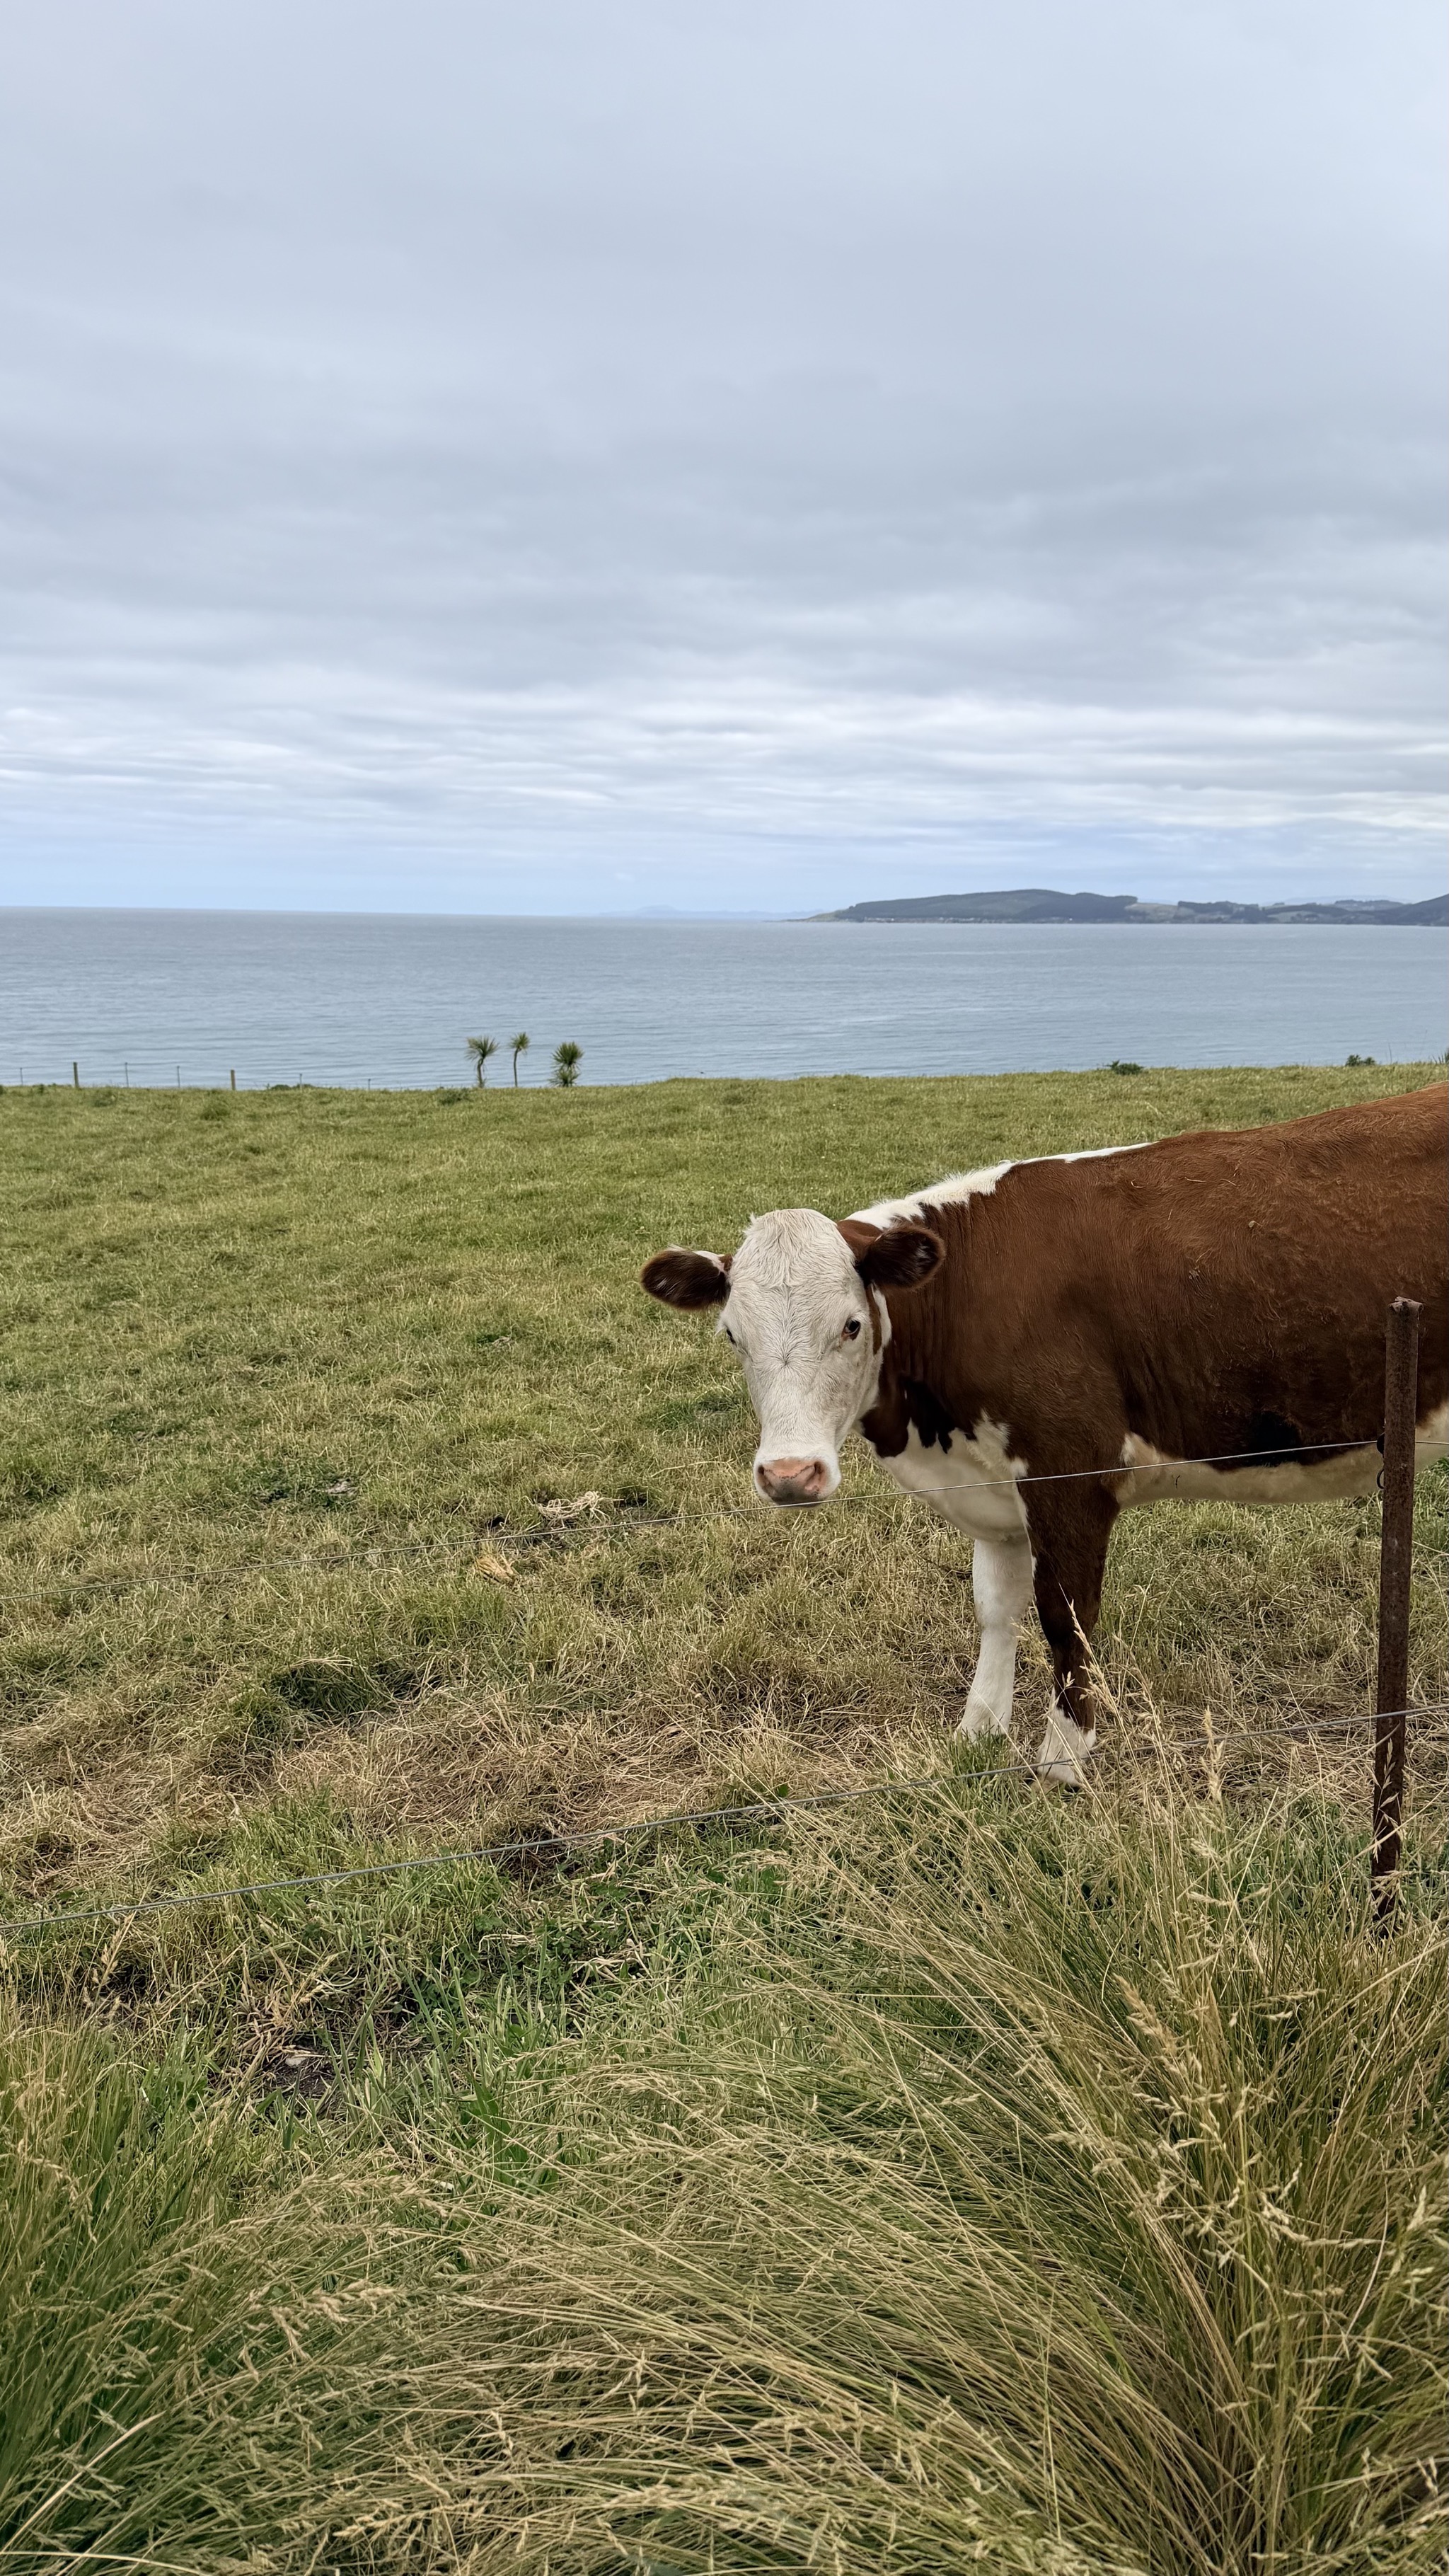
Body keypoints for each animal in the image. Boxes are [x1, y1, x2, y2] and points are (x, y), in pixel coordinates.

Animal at [641, 1085, 1448, 1781]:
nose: (789, 1475)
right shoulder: (996, 1488)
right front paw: (977, 1732)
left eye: (849, 1325)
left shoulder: (1070, 1475)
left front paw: (1064, 1757)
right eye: (731, 1335)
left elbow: (1065, 1618)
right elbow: (995, 1610)